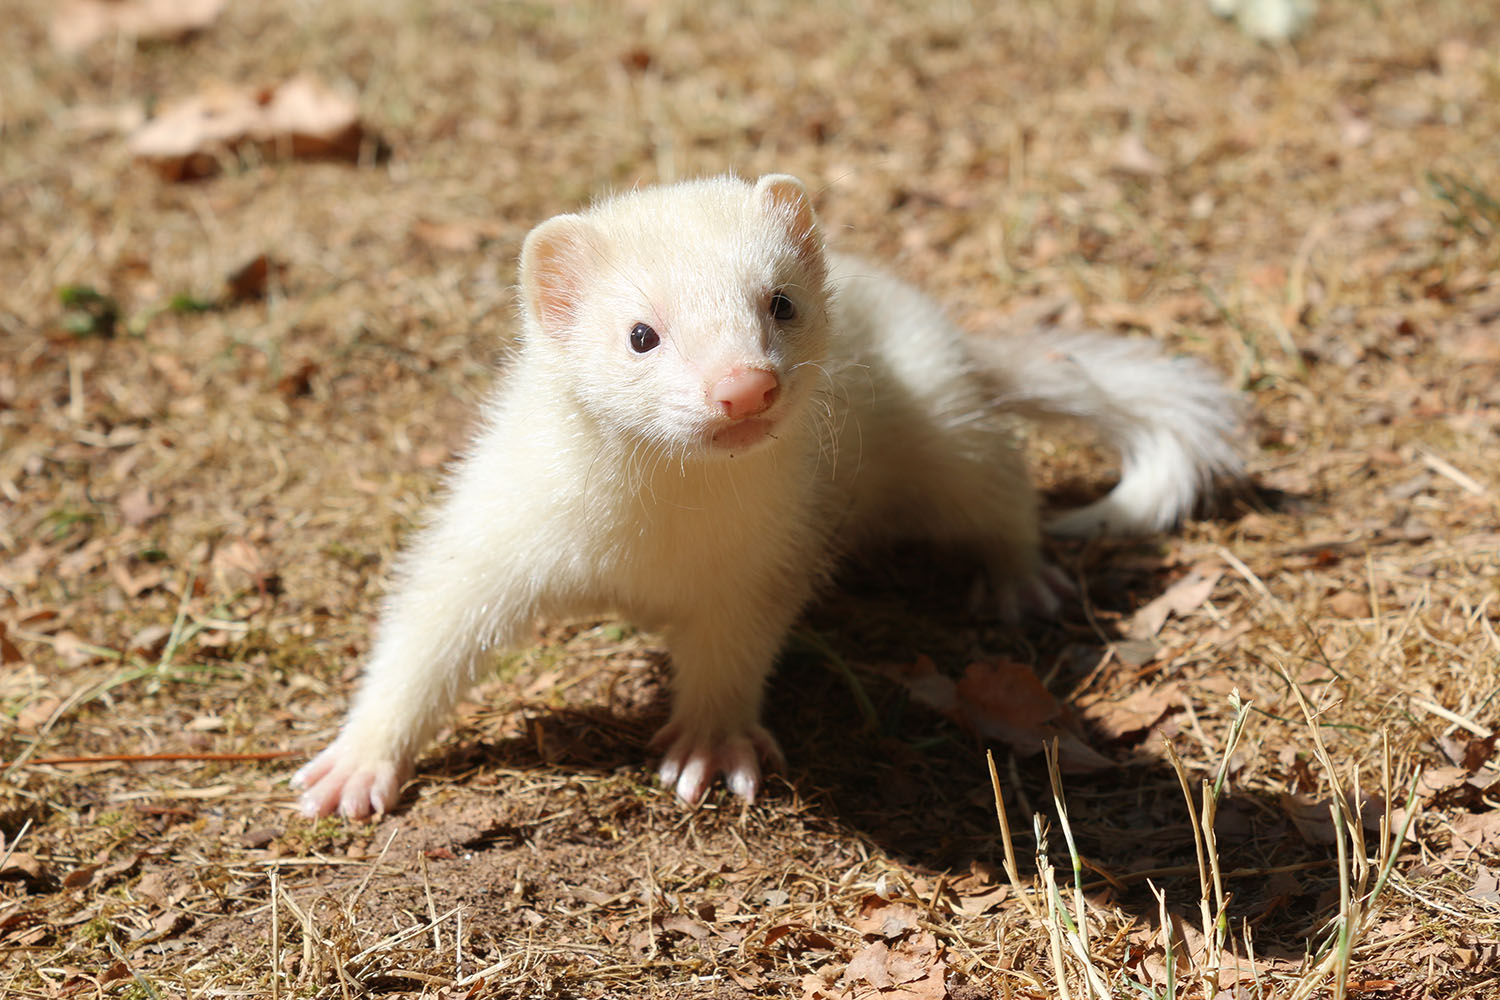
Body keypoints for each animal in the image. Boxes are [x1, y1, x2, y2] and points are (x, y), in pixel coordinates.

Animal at [293, 174, 1242, 818]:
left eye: (780, 301)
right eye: (641, 332)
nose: (744, 386)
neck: (649, 542)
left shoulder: (761, 568)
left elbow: (734, 654)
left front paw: (709, 748)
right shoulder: (488, 531)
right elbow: (422, 637)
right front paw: (354, 767)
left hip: (949, 430)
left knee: (1001, 492)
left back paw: (1022, 582)